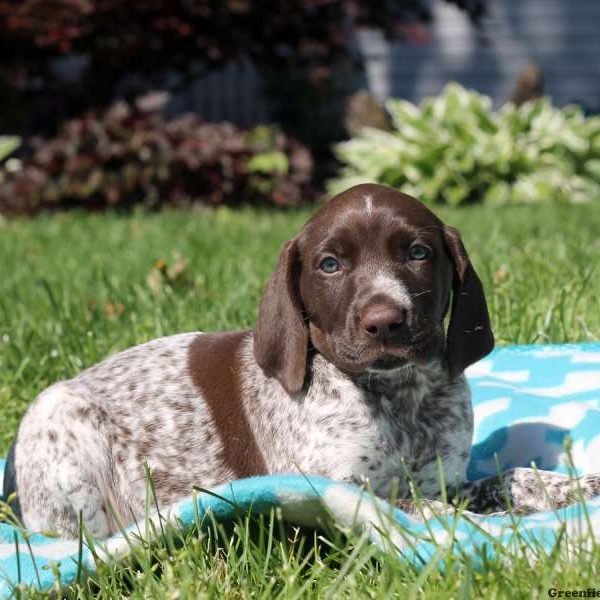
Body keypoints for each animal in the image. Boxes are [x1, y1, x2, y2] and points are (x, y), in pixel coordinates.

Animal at [4, 184, 600, 540]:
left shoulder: (440, 479)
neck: (399, 399)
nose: (385, 322)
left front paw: (569, 488)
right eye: (330, 264)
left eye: (418, 253)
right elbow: (429, 512)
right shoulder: (344, 488)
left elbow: (506, 478)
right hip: (60, 420)